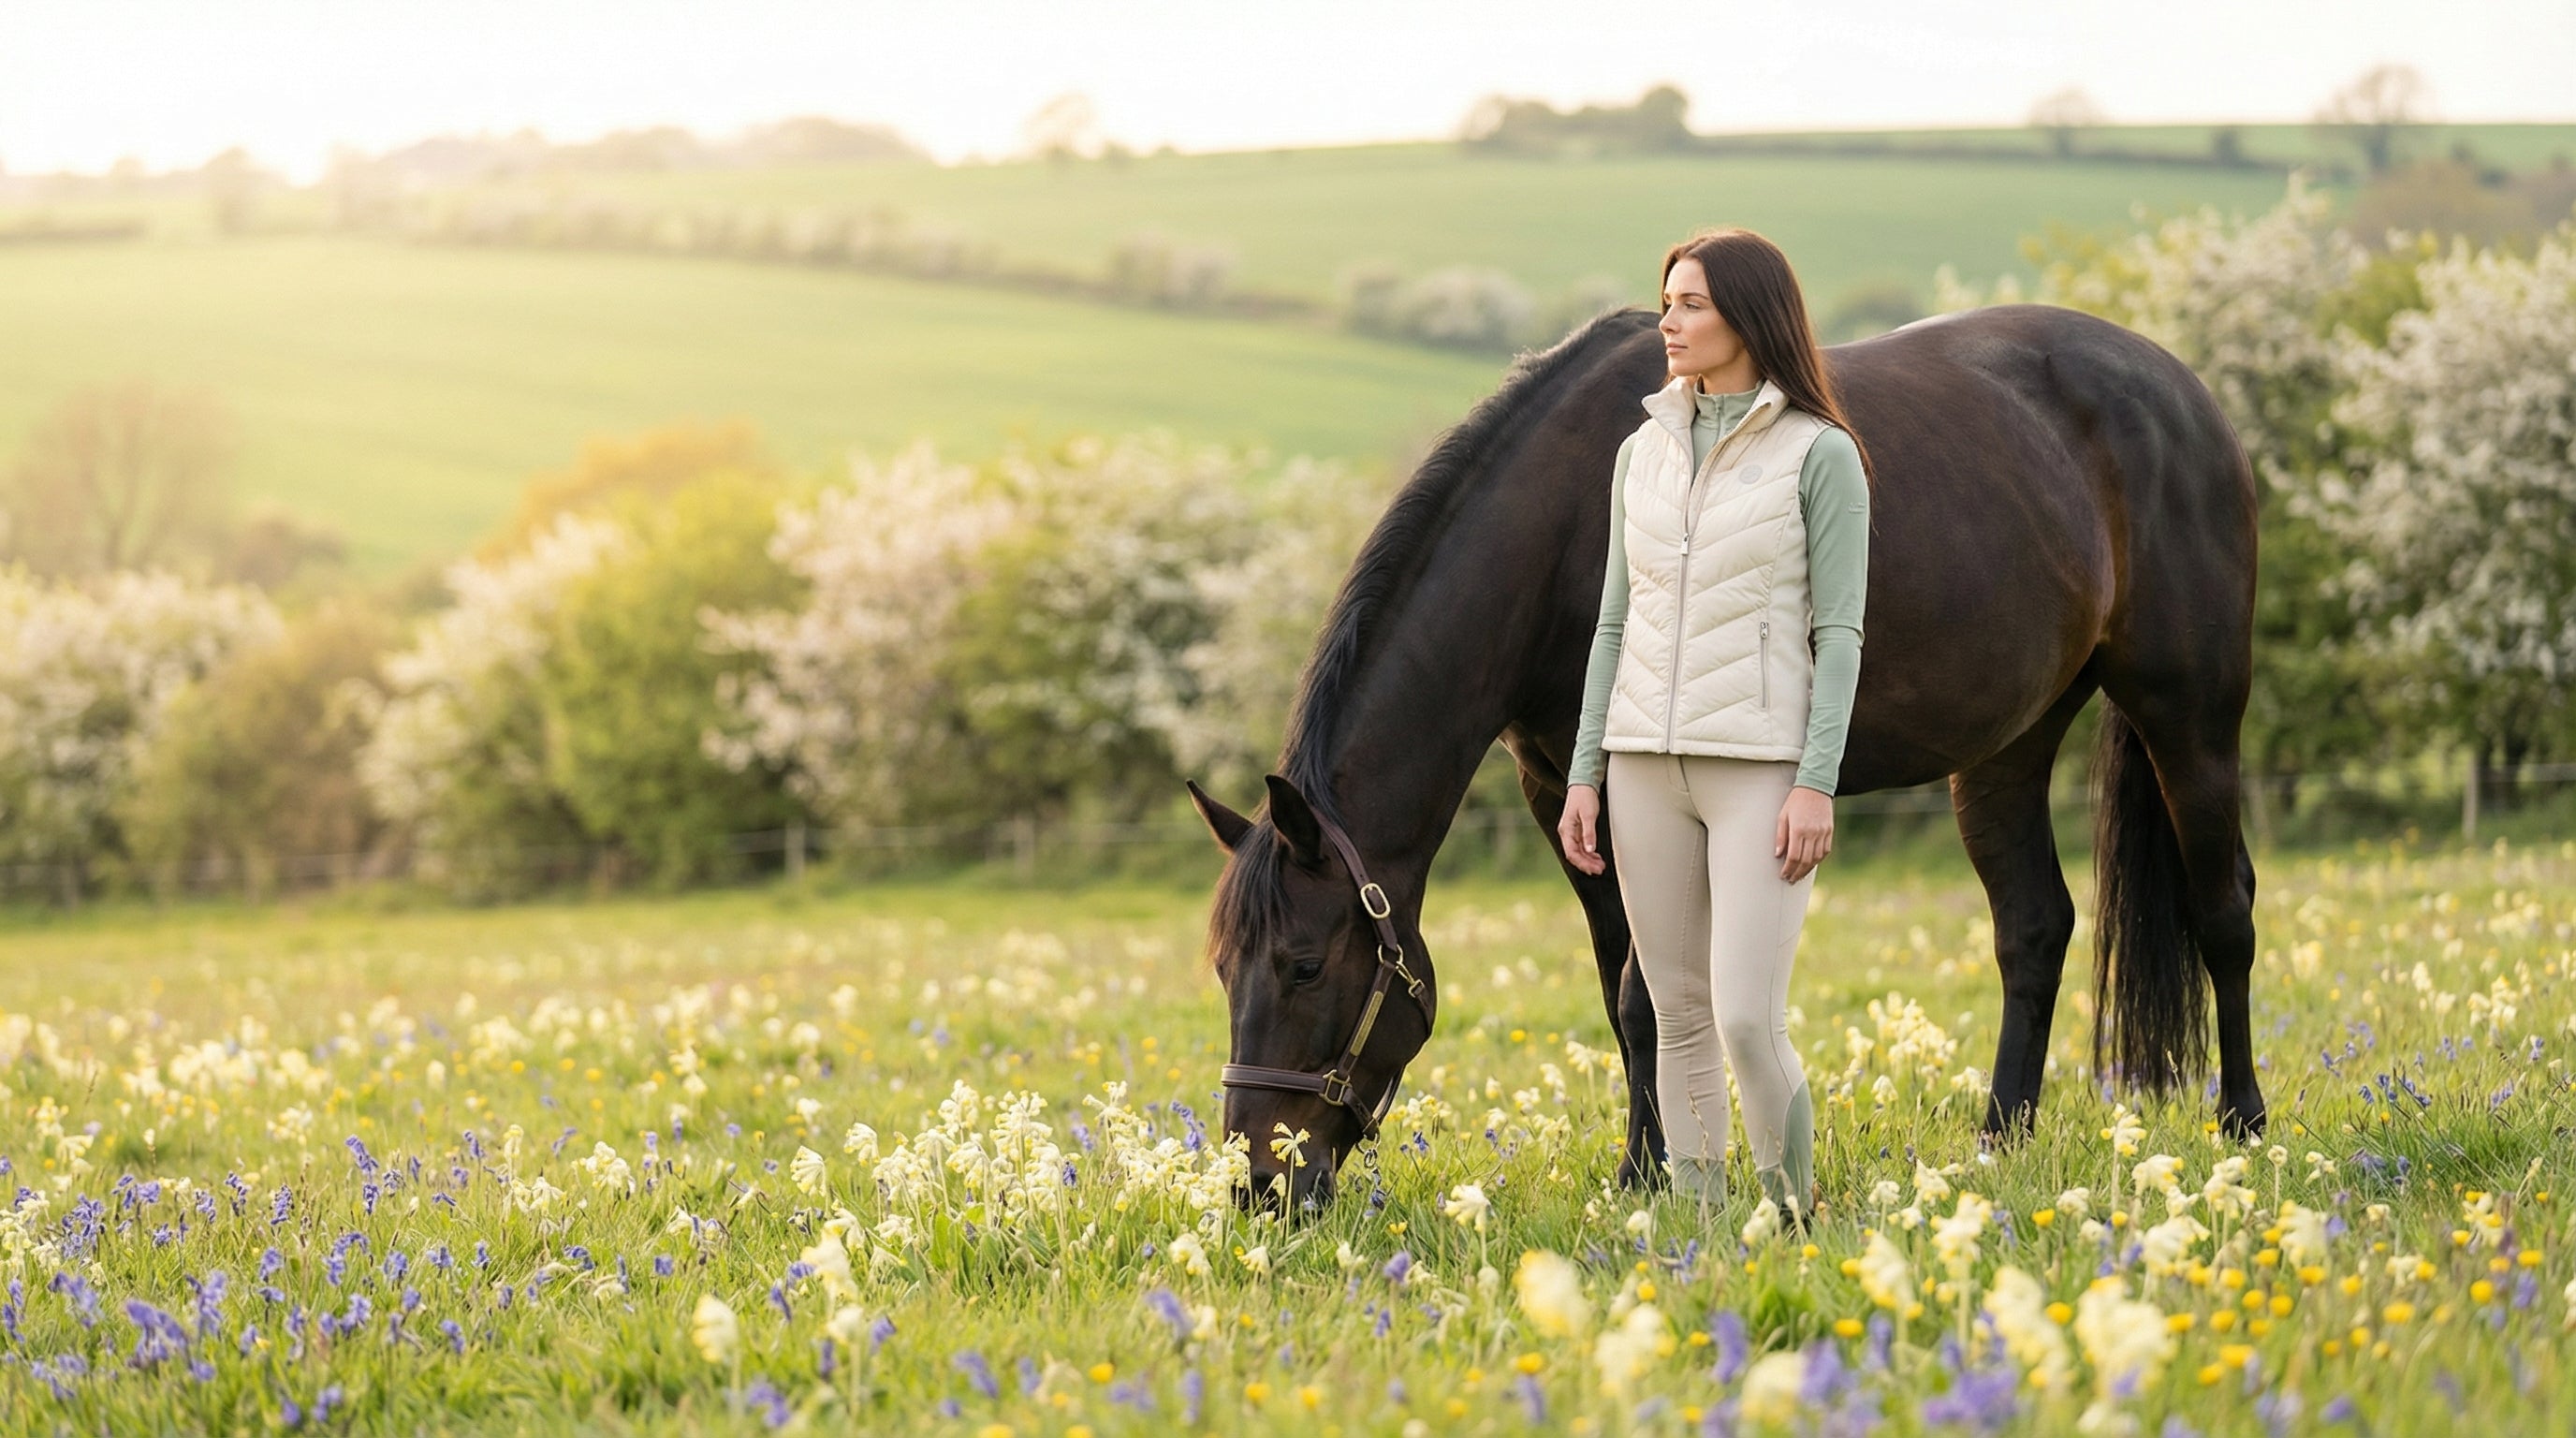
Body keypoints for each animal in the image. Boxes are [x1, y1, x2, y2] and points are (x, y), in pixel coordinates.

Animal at [1187, 303, 2265, 1209]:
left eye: (1303, 967)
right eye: (1224, 970)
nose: (1260, 1187)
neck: (1561, 527)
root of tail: (2179, 389)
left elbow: (1641, 997)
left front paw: (1650, 1174)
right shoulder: (1562, 790)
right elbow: (1627, 992)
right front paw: (1652, 1165)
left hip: (2191, 717)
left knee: (2225, 915)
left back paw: (2242, 1125)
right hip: (2005, 747)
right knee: (2033, 930)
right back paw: (2001, 1141)